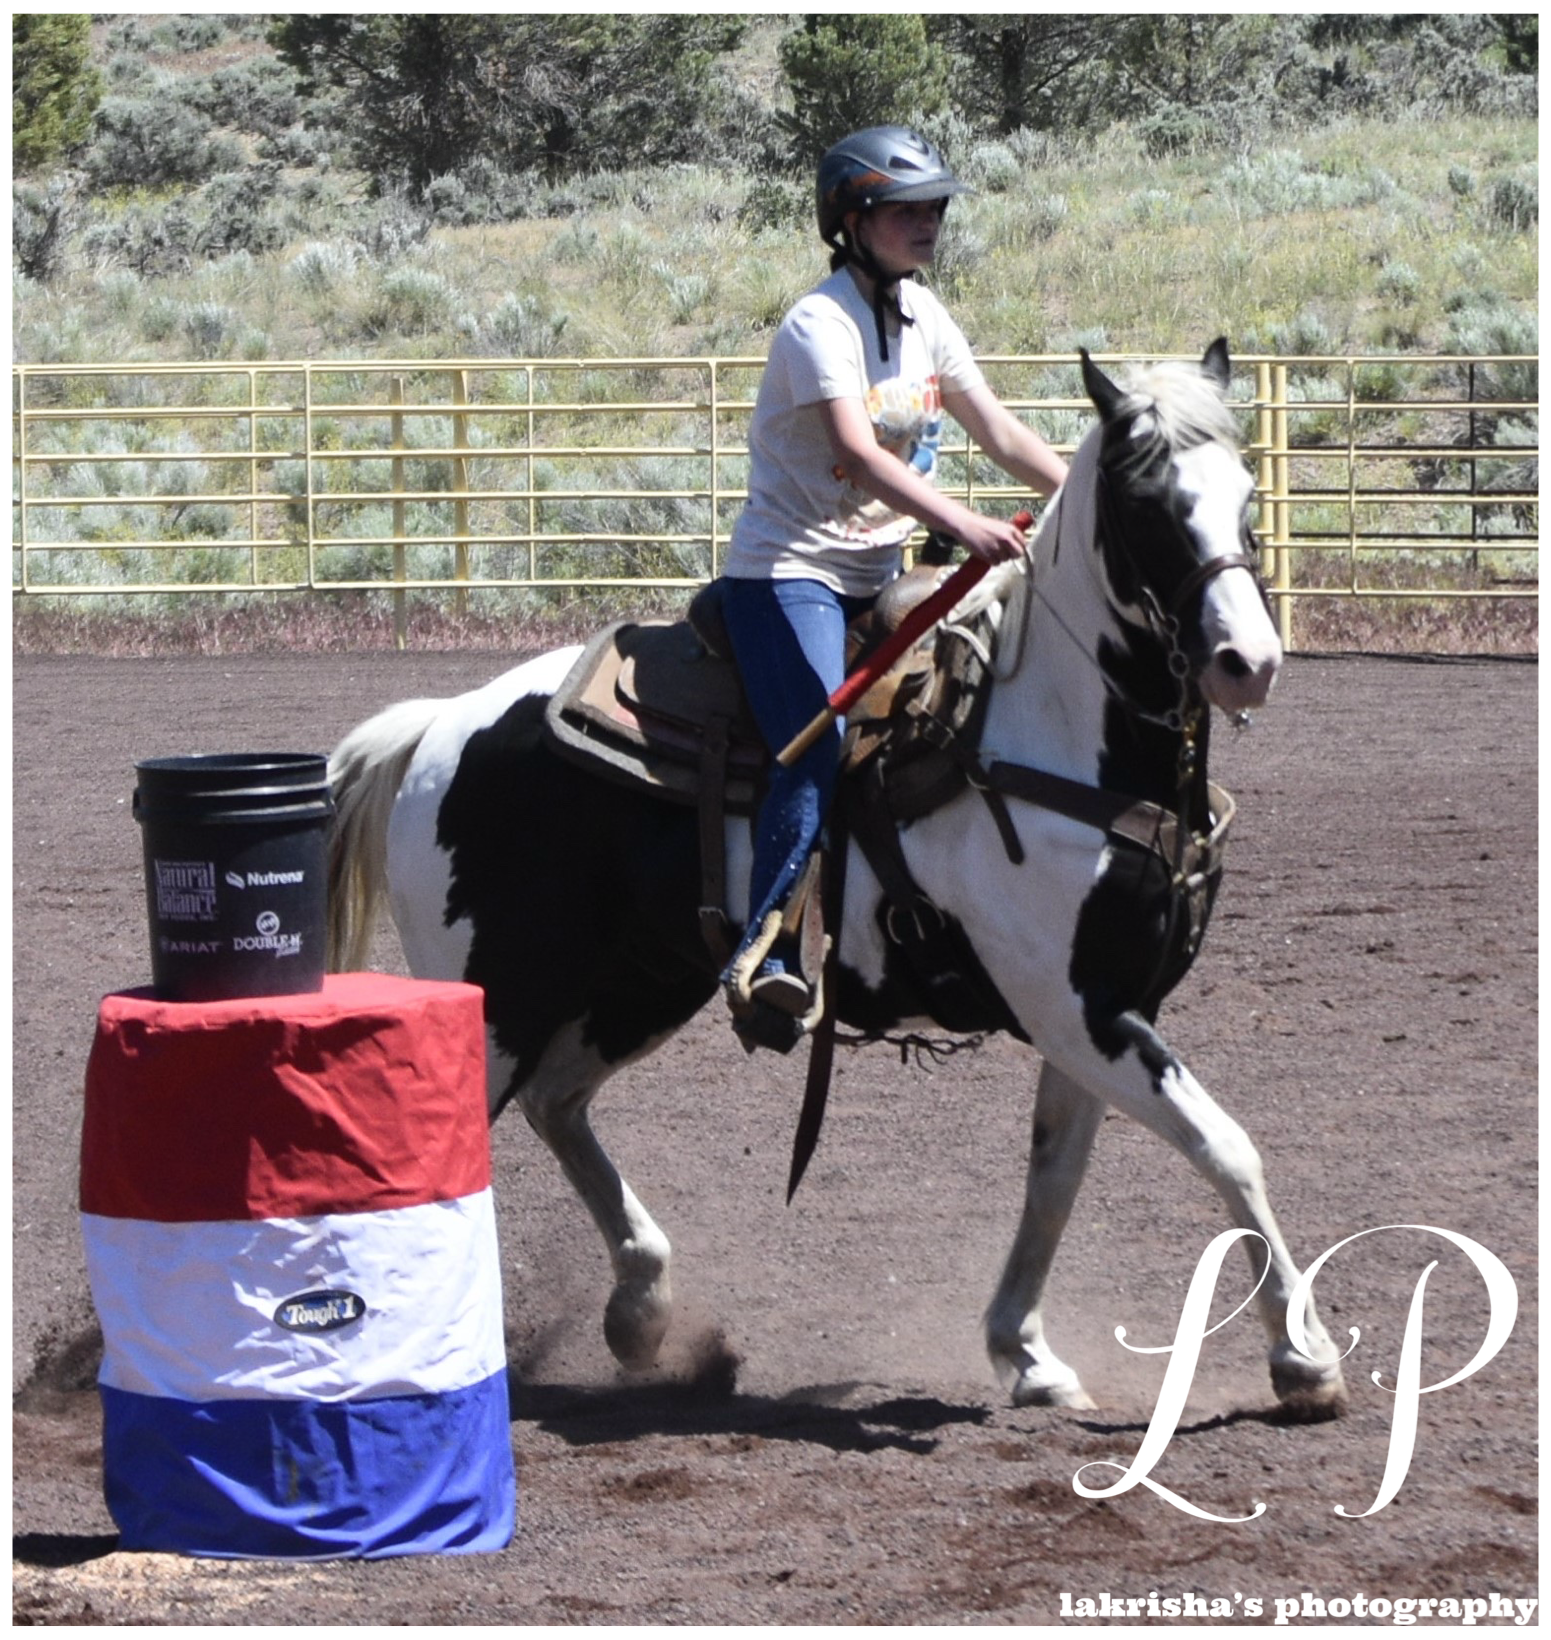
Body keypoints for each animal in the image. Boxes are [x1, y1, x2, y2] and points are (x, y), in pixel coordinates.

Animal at [326, 340, 1348, 1417]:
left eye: (1246, 496)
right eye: (1149, 503)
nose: (1246, 660)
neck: (1051, 735)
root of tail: (439, 726)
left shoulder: (1093, 1011)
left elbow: (1055, 1176)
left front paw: (1026, 1352)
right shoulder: (1082, 1009)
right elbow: (1226, 1146)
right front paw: (1303, 1357)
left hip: (637, 982)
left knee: (557, 1103)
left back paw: (641, 1307)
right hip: (499, 1000)